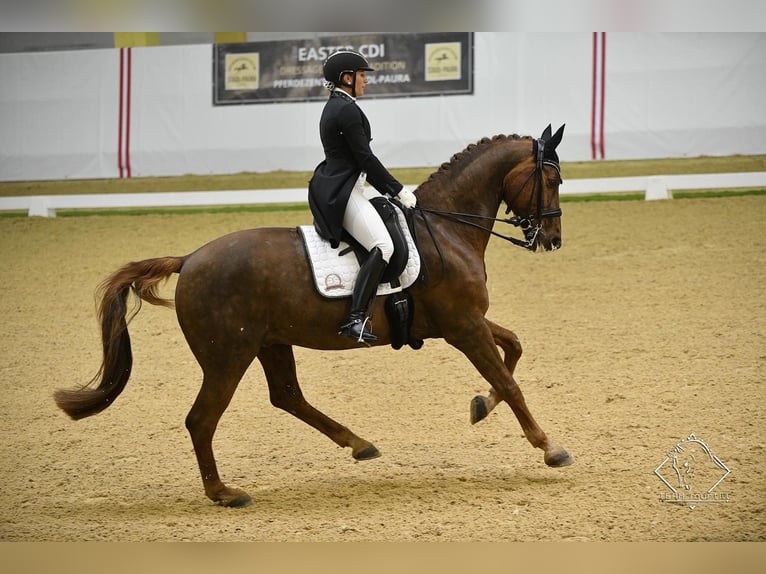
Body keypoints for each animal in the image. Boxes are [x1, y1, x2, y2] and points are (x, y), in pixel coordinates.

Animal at [54, 125, 572, 508]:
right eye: (552, 180)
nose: (551, 240)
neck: (445, 227)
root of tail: (190, 259)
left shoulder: (464, 323)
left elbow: (513, 349)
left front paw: (481, 406)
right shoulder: (463, 326)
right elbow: (509, 380)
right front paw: (550, 447)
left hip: (269, 343)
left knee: (286, 396)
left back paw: (359, 443)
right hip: (228, 356)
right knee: (202, 419)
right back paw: (224, 493)